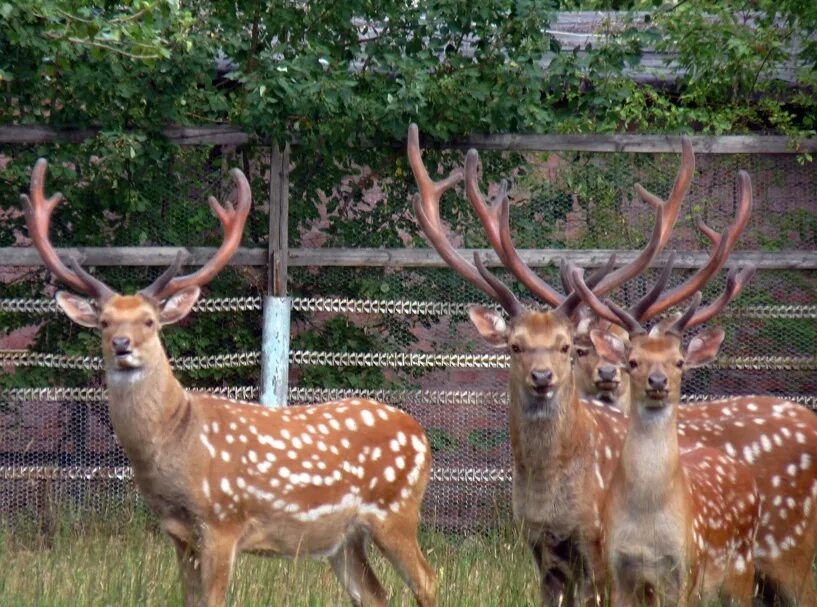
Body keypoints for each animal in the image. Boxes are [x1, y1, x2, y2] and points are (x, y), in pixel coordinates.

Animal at [22, 158, 436, 607]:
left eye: (149, 321)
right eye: (103, 322)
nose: (121, 345)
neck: (177, 439)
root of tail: (420, 433)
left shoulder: (222, 521)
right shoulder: (178, 533)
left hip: (396, 509)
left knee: (427, 579)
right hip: (343, 537)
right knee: (375, 594)